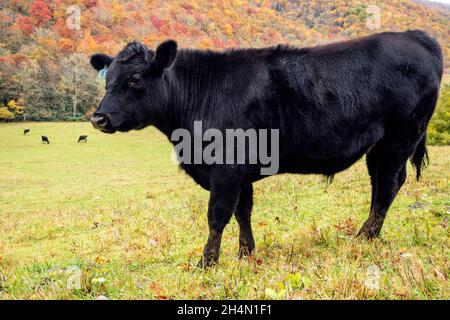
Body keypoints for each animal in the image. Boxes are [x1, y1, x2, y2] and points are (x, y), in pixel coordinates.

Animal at [89, 30, 442, 266]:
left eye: (135, 78)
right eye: (107, 80)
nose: (98, 117)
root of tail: (415, 36)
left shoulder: (226, 168)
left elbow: (217, 215)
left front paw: (208, 261)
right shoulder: (240, 172)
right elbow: (242, 212)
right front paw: (245, 253)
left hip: (399, 139)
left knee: (389, 185)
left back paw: (365, 236)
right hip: (380, 146)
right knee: (379, 185)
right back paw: (368, 233)